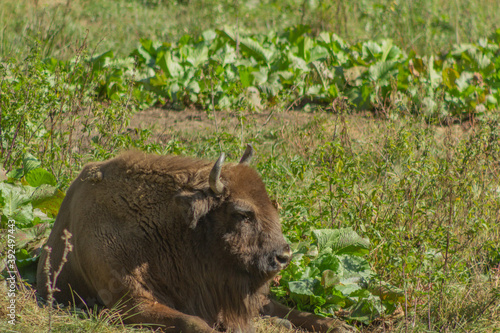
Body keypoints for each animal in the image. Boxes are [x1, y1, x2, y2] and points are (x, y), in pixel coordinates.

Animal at [37, 147, 354, 330]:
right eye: (243, 213)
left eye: (272, 205)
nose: (283, 256)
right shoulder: (131, 303)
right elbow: (195, 322)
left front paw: (340, 326)